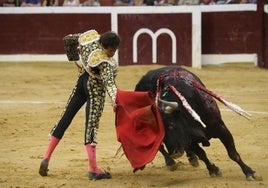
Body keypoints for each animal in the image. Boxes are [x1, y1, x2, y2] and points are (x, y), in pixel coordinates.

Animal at [134, 66, 262, 181]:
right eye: (162, 133)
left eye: (172, 125)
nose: (174, 153)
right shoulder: (190, 139)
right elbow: (202, 154)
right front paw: (213, 170)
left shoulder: (221, 129)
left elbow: (233, 153)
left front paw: (250, 173)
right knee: (161, 147)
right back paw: (171, 163)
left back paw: (191, 158)